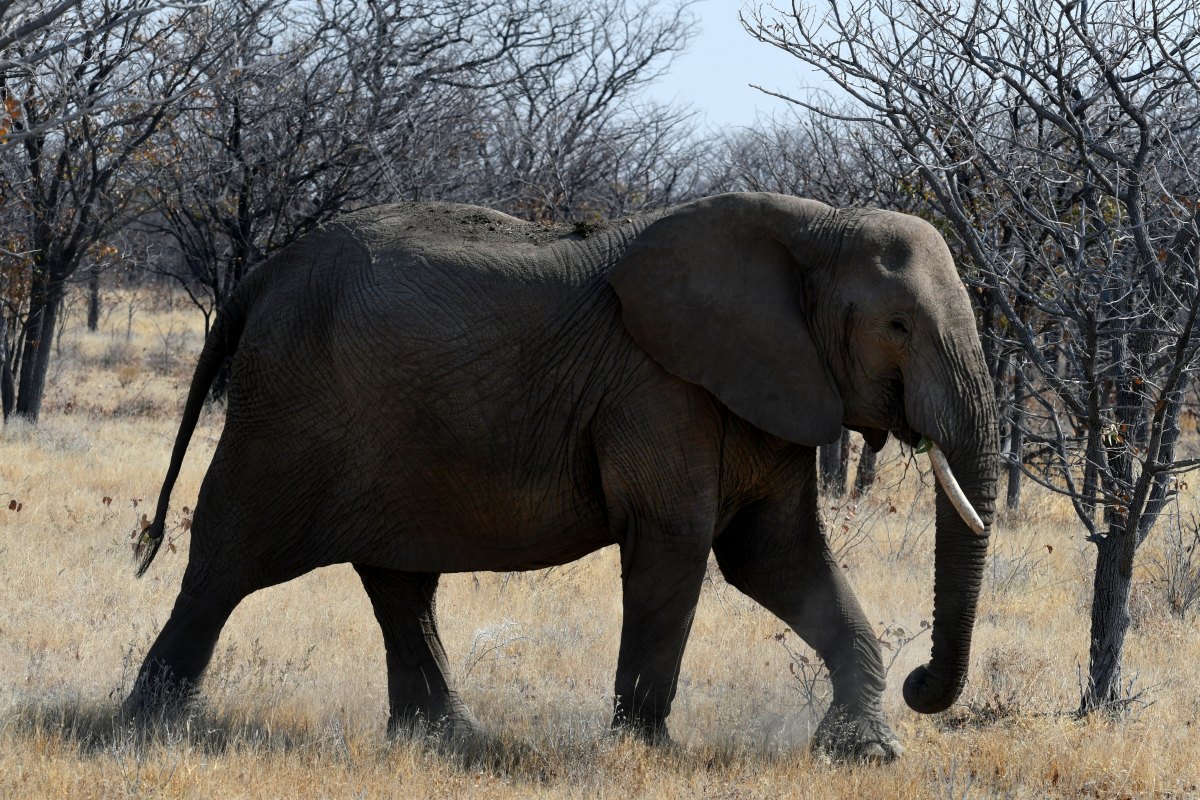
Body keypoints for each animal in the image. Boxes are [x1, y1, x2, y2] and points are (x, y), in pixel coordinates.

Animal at [126, 192, 998, 761]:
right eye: (897, 326)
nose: (924, 681)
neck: (808, 227)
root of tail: (260, 276)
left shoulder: (772, 382)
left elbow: (775, 555)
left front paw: (867, 753)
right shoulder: (658, 387)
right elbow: (678, 544)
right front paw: (649, 754)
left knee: (398, 580)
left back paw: (448, 742)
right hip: (287, 405)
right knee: (228, 559)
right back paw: (150, 731)